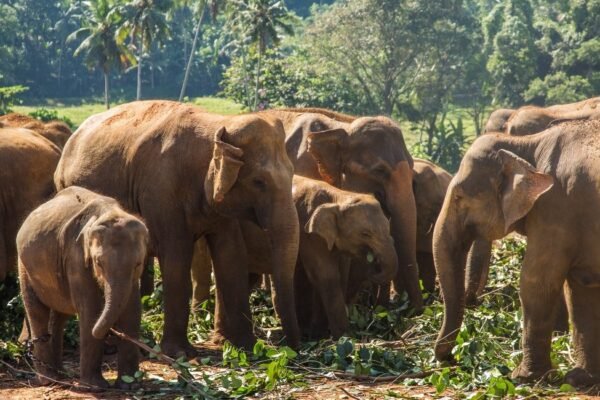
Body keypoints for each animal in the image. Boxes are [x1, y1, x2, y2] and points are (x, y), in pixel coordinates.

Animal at [19, 186, 151, 390]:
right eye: (99, 263)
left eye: (138, 264)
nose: (112, 333)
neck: (110, 212)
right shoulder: (76, 258)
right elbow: (91, 310)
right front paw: (96, 387)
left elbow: (132, 311)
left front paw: (130, 386)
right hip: (25, 267)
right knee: (37, 311)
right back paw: (49, 379)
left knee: (59, 315)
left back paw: (61, 375)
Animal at [54, 101, 300, 354]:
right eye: (258, 182)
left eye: (292, 174)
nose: (294, 348)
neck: (218, 123)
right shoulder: (160, 190)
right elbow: (176, 255)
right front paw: (180, 352)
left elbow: (231, 254)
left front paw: (245, 346)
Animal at [292, 175, 398, 338]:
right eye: (365, 234)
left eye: (388, 226)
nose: (373, 262)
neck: (339, 197)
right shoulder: (310, 234)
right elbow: (326, 275)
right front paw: (344, 338)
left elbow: (340, 275)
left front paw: (326, 334)